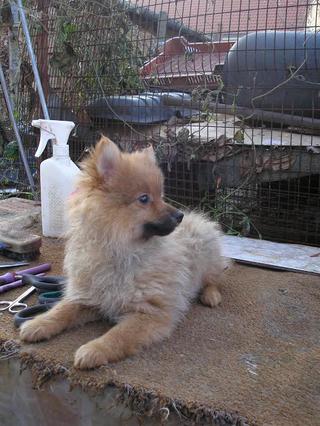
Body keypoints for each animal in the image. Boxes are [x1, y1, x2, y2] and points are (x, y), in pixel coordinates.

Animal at [20, 137, 228, 370]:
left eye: (161, 196)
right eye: (144, 199)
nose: (179, 215)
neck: (121, 252)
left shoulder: (150, 312)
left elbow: (118, 335)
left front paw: (94, 350)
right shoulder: (87, 296)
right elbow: (61, 310)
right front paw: (38, 323)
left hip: (206, 254)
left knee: (215, 279)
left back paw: (211, 295)